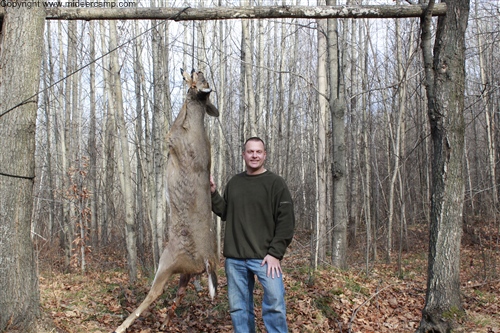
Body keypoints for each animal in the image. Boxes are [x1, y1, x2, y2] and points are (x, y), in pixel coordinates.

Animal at [115, 68, 221, 330]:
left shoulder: (172, 138)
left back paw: (122, 325)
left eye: (202, 78)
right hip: (186, 272)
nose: (197, 68)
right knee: (180, 293)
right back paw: (165, 321)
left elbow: (167, 129)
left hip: (169, 260)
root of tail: (207, 261)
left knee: (154, 293)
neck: (192, 122)